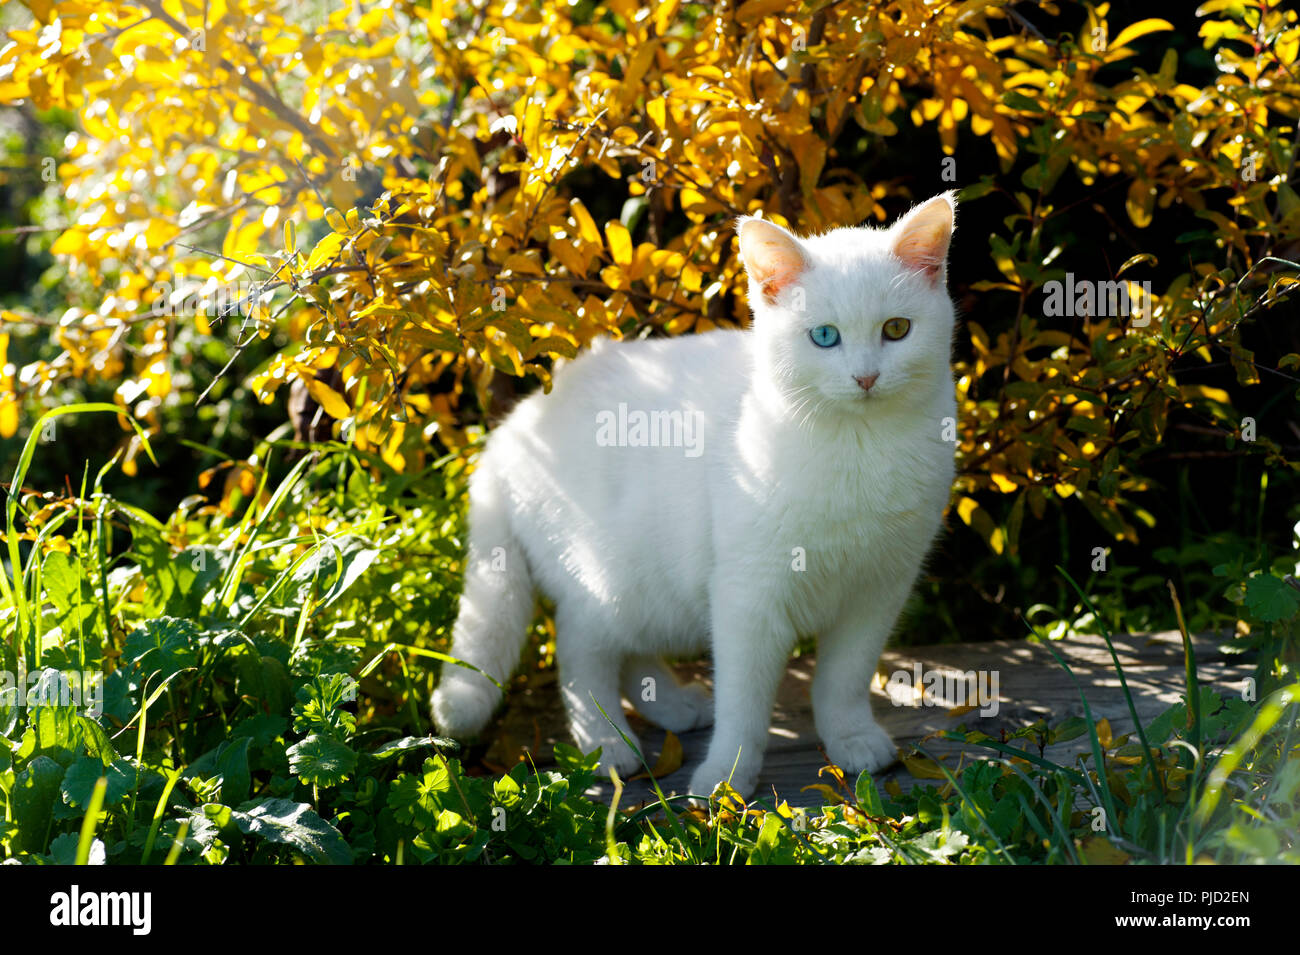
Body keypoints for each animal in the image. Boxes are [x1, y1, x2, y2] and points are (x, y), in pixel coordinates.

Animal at [431, 194, 961, 800]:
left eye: (897, 329)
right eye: (824, 337)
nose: (866, 377)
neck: (858, 448)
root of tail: (511, 429)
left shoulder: (878, 589)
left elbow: (843, 679)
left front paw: (849, 737)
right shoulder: (747, 596)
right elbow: (745, 702)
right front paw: (728, 778)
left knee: (629, 652)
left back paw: (674, 707)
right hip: (607, 574)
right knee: (581, 654)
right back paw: (606, 744)